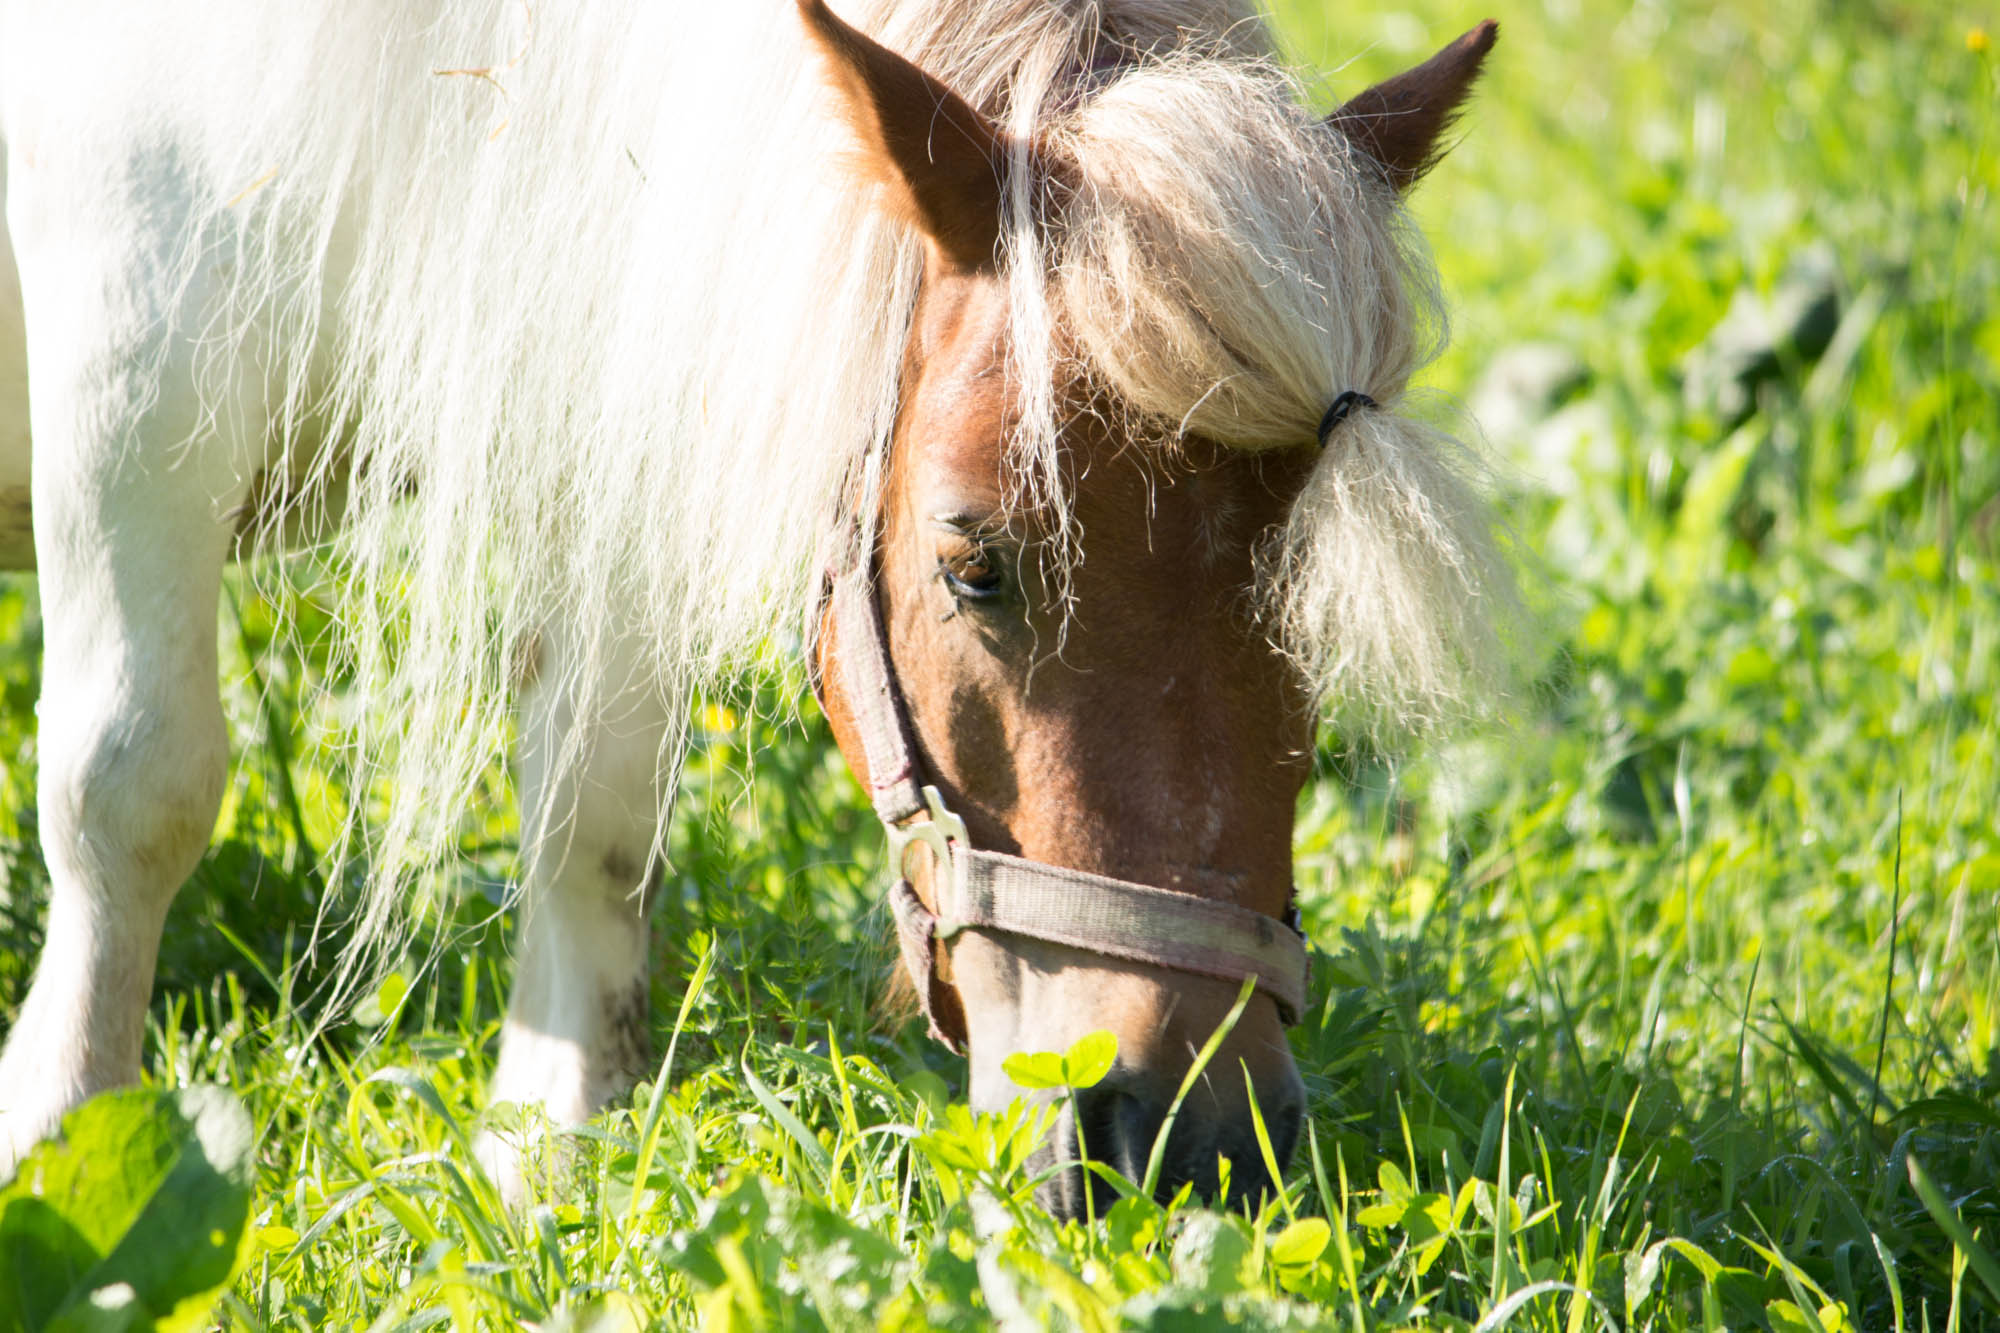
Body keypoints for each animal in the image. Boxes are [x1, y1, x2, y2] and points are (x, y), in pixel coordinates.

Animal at [0, 0, 1516, 1219]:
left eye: (1306, 591)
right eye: (976, 566)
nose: (1188, 1141)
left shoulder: (604, 401)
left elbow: (592, 802)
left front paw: (546, 1142)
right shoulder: (133, 381)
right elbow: (132, 786)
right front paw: (67, 1123)